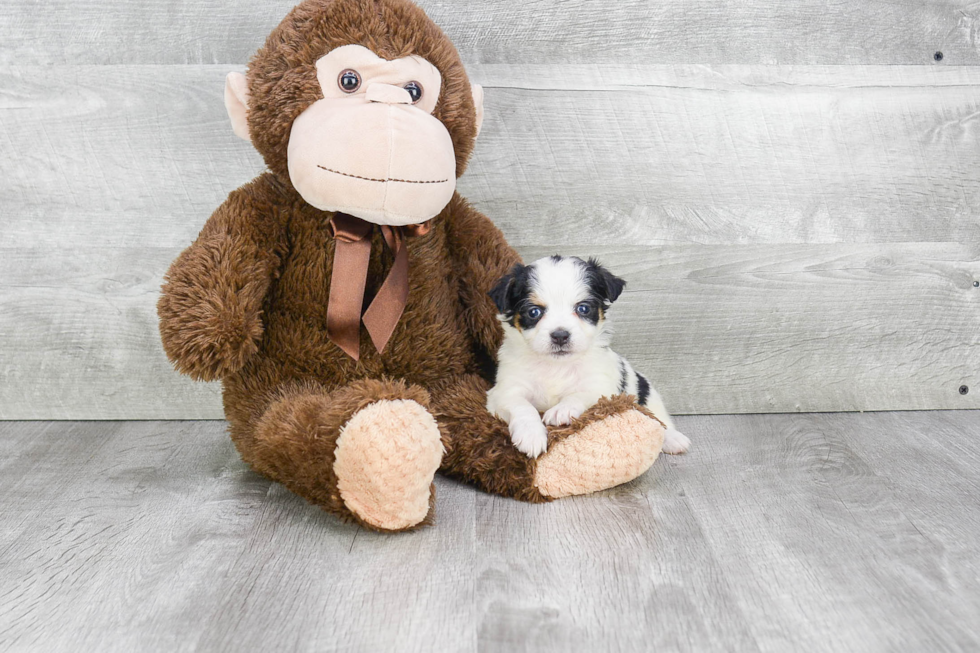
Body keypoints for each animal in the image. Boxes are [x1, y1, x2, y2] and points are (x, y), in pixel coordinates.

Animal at [484, 255, 688, 458]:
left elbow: (580, 395)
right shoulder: (504, 391)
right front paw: (531, 435)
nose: (560, 335)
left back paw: (673, 438)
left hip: (649, 396)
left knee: (659, 420)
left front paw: (561, 410)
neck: (555, 366)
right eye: (534, 312)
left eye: (583, 308)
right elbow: (522, 405)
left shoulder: (601, 387)